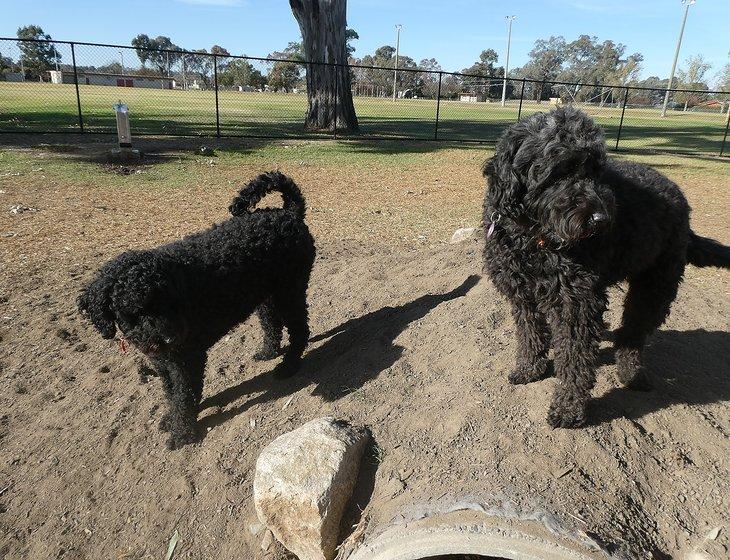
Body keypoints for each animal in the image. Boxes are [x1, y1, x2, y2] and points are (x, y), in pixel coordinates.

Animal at [78, 173, 314, 448]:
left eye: (170, 302)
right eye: (134, 310)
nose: (170, 338)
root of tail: (289, 213)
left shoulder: (187, 358)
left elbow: (184, 396)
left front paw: (182, 433)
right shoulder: (164, 362)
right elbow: (172, 394)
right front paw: (171, 418)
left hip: (290, 290)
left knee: (300, 328)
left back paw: (289, 366)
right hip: (266, 296)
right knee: (272, 323)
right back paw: (268, 352)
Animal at [484, 106, 728, 428]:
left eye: (596, 170)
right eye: (560, 169)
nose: (601, 219)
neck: (533, 237)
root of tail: (680, 197)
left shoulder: (577, 302)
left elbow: (575, 359)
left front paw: (569, 408)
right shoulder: (523, 295)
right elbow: (530, 334)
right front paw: (530, 368)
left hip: (656, 286)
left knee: (633, 333)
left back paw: (631, 372)